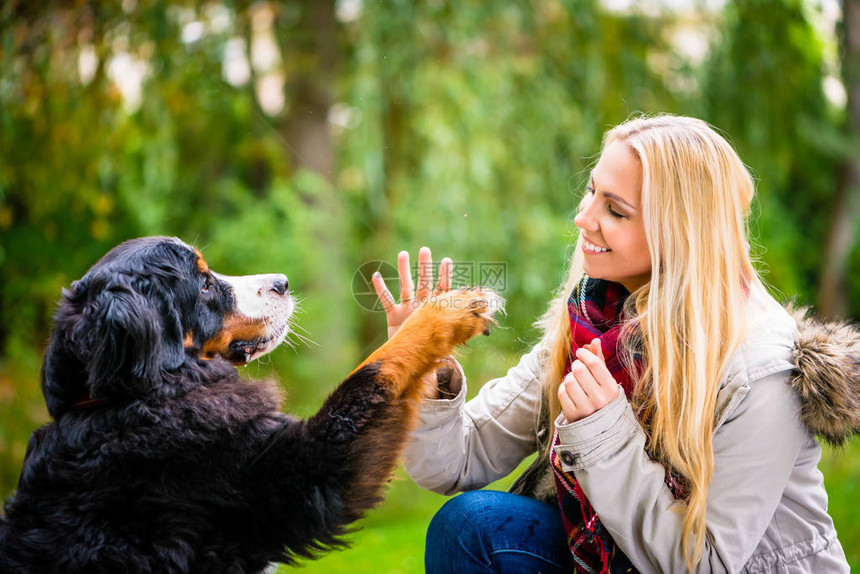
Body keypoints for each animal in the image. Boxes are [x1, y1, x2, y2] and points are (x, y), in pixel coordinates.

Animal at [0, 236, 504, 572]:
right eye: (203, 285)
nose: (282, 281)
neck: (125, 400)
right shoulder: (304, 475)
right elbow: (375, 368)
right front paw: (452, 308)